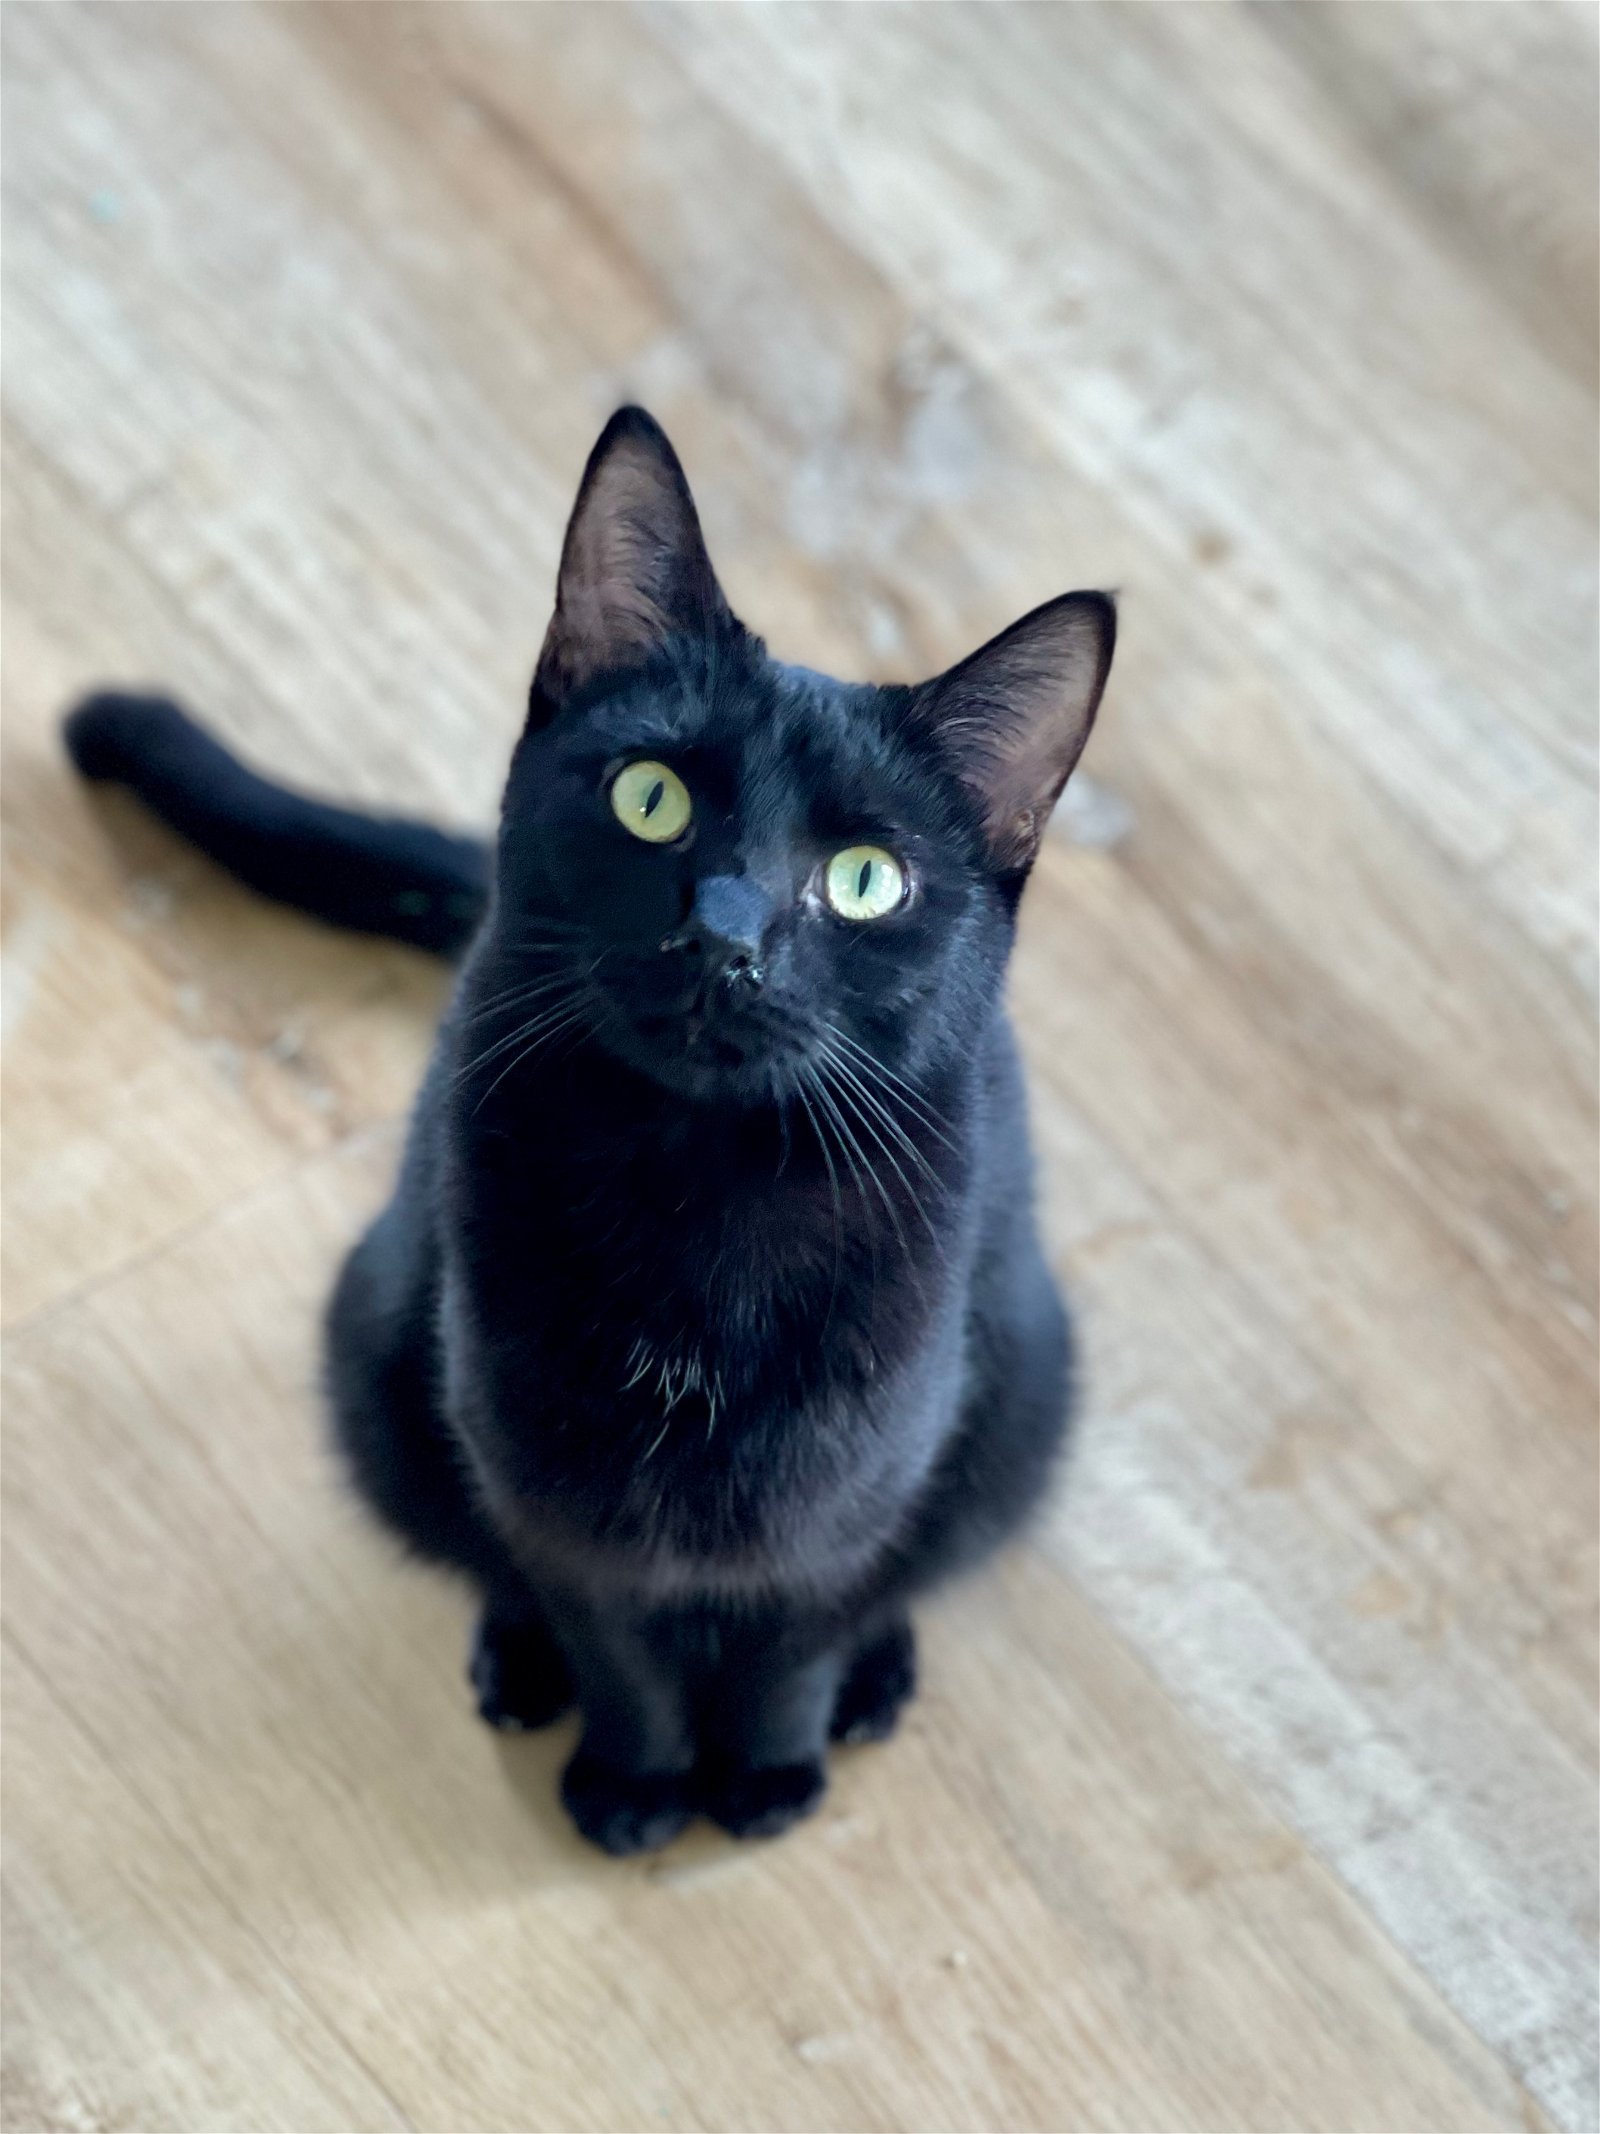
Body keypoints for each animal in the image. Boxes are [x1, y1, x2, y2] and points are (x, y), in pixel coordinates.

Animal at [62, 411, 1117, 1852]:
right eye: (651, 798)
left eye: (863, 880)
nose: (724, 934)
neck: (698, 1200)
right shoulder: (539, 1471)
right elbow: (610, 1636)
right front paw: (636, 1782)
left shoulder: (854, 1496)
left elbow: (796, 1636)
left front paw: (768, 1773)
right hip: (378, 1346)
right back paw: (516, 1665)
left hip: (1022, 1395)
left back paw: (874, 1681)